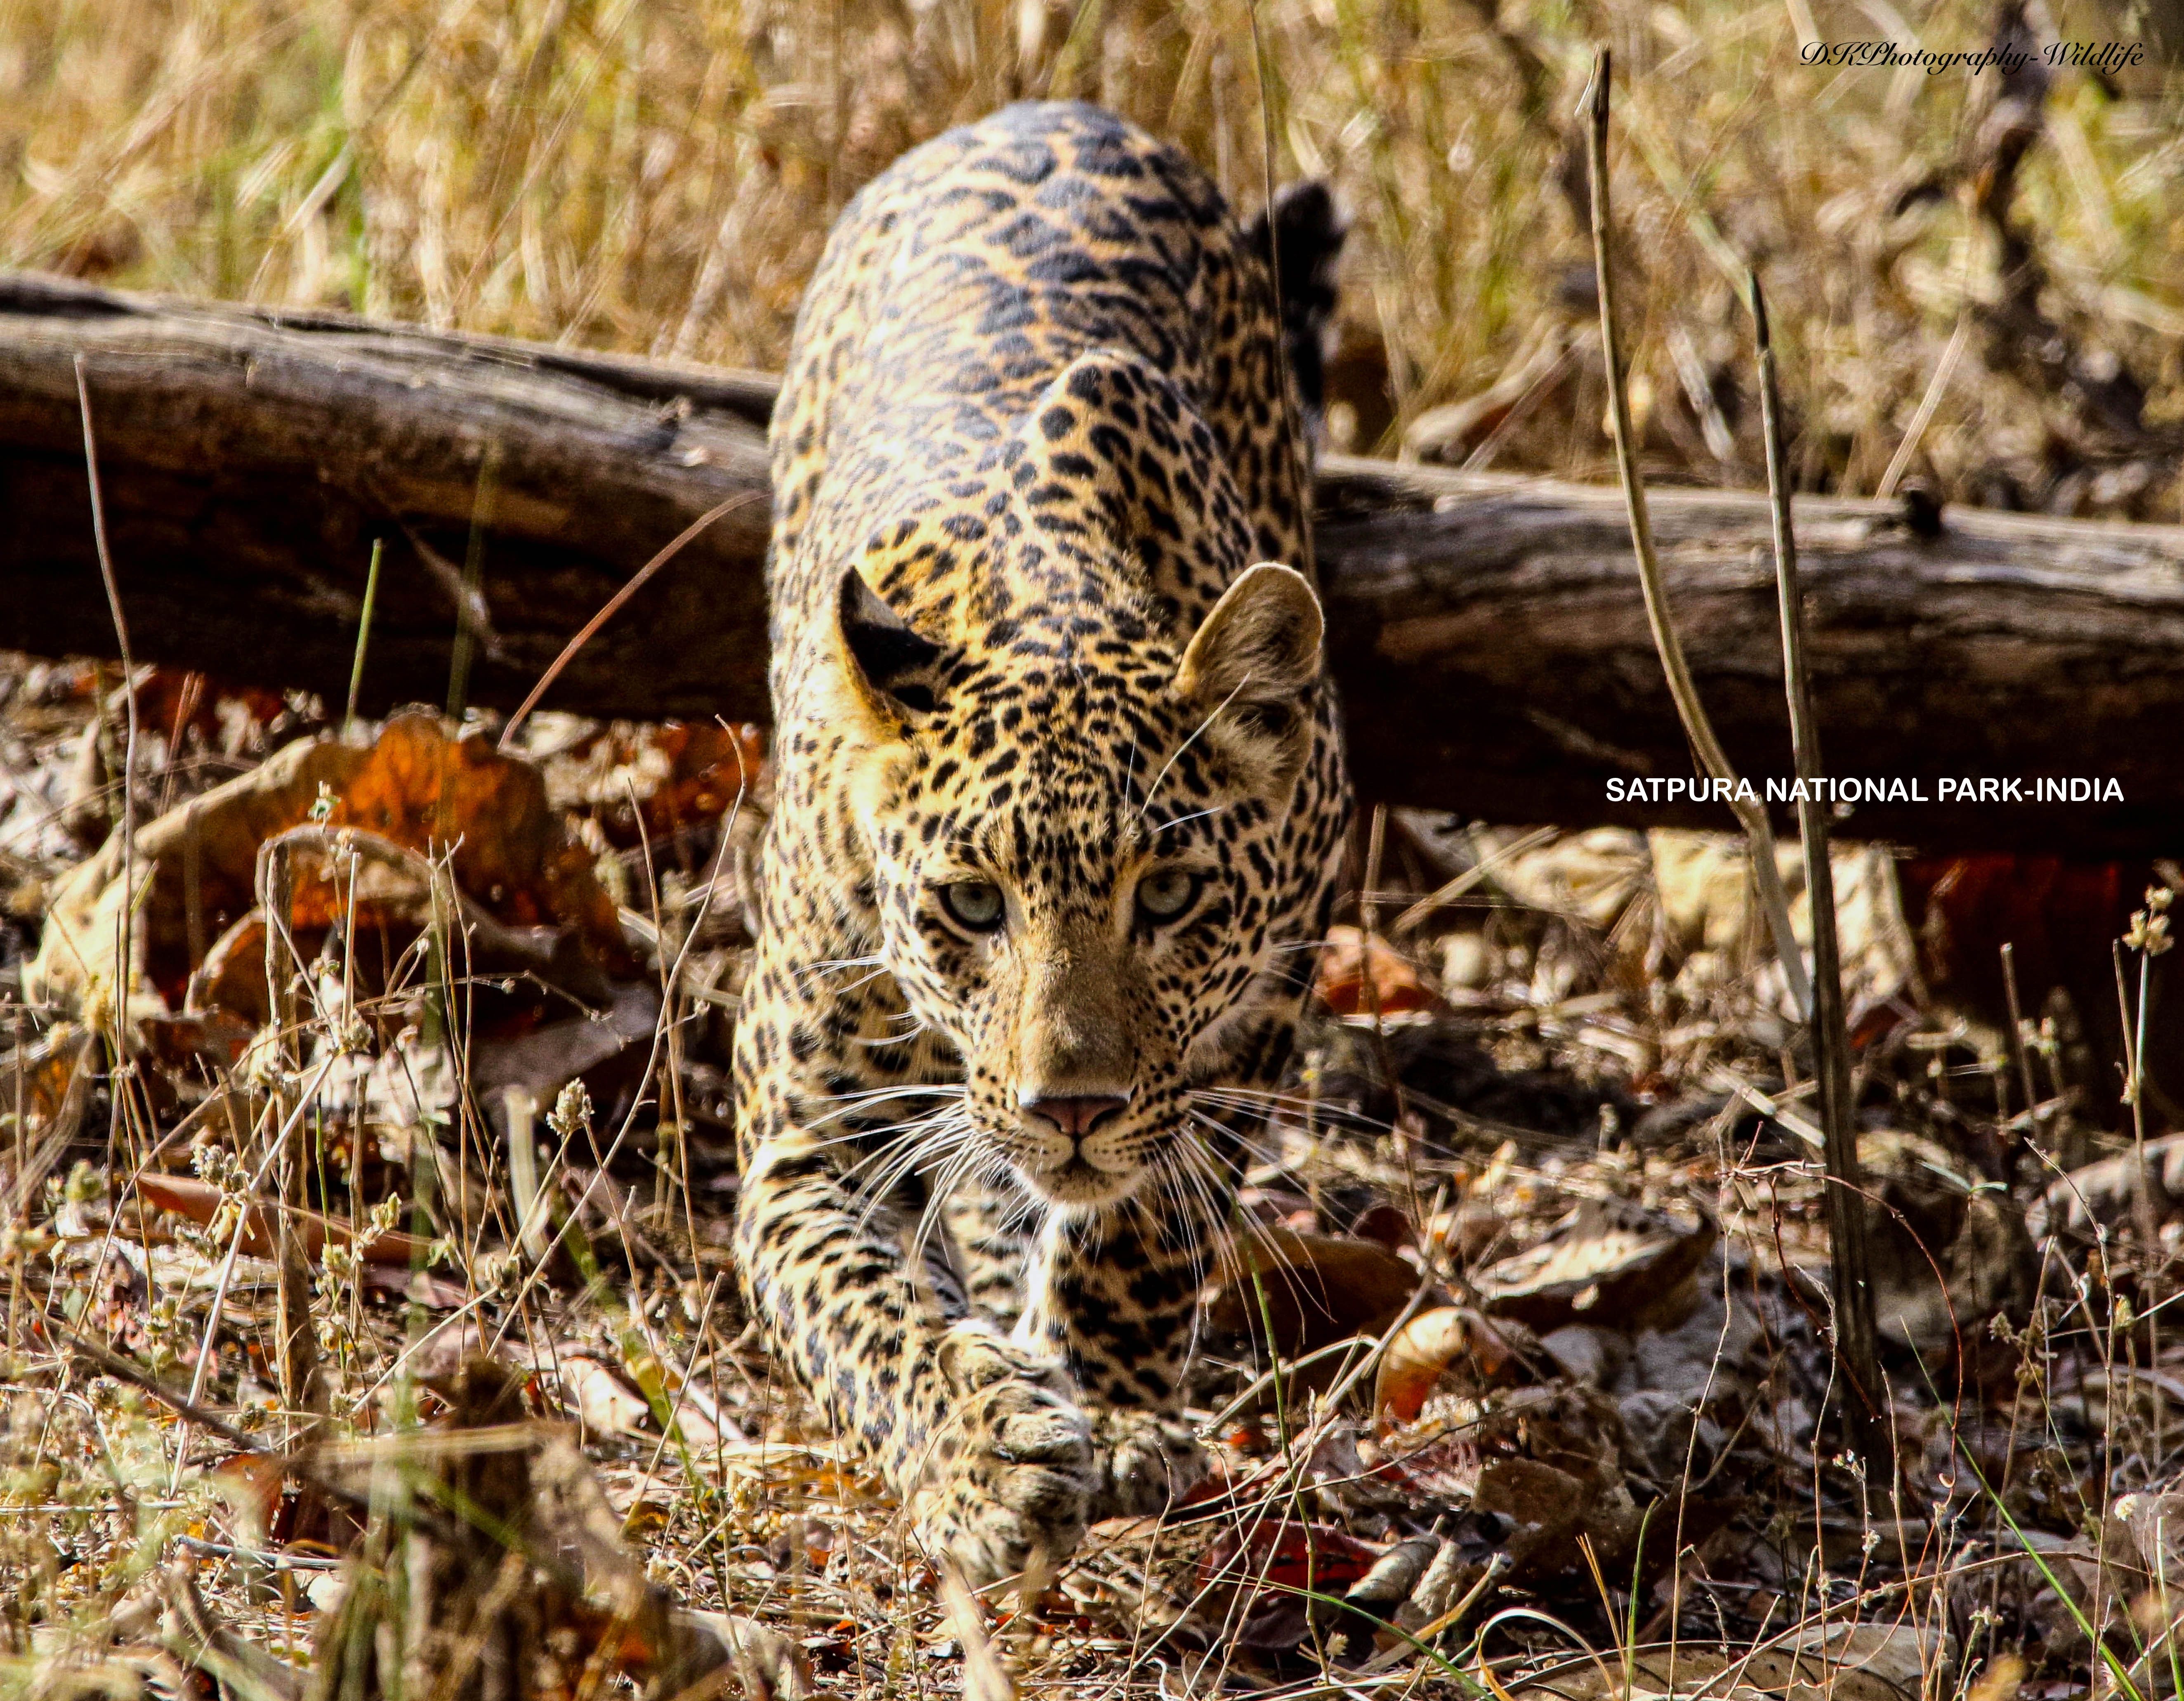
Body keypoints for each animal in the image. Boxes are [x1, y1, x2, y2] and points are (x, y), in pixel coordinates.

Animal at [734, 97, 1345, 1581]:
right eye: (970, 904)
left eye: (1169, 896)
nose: (1068, 1106)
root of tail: (1047, 109)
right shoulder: (807, 1151)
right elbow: (868, 1313)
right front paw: (988, 1460)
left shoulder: (1270, 970)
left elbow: (1154, 1205)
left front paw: (1112, 1406)